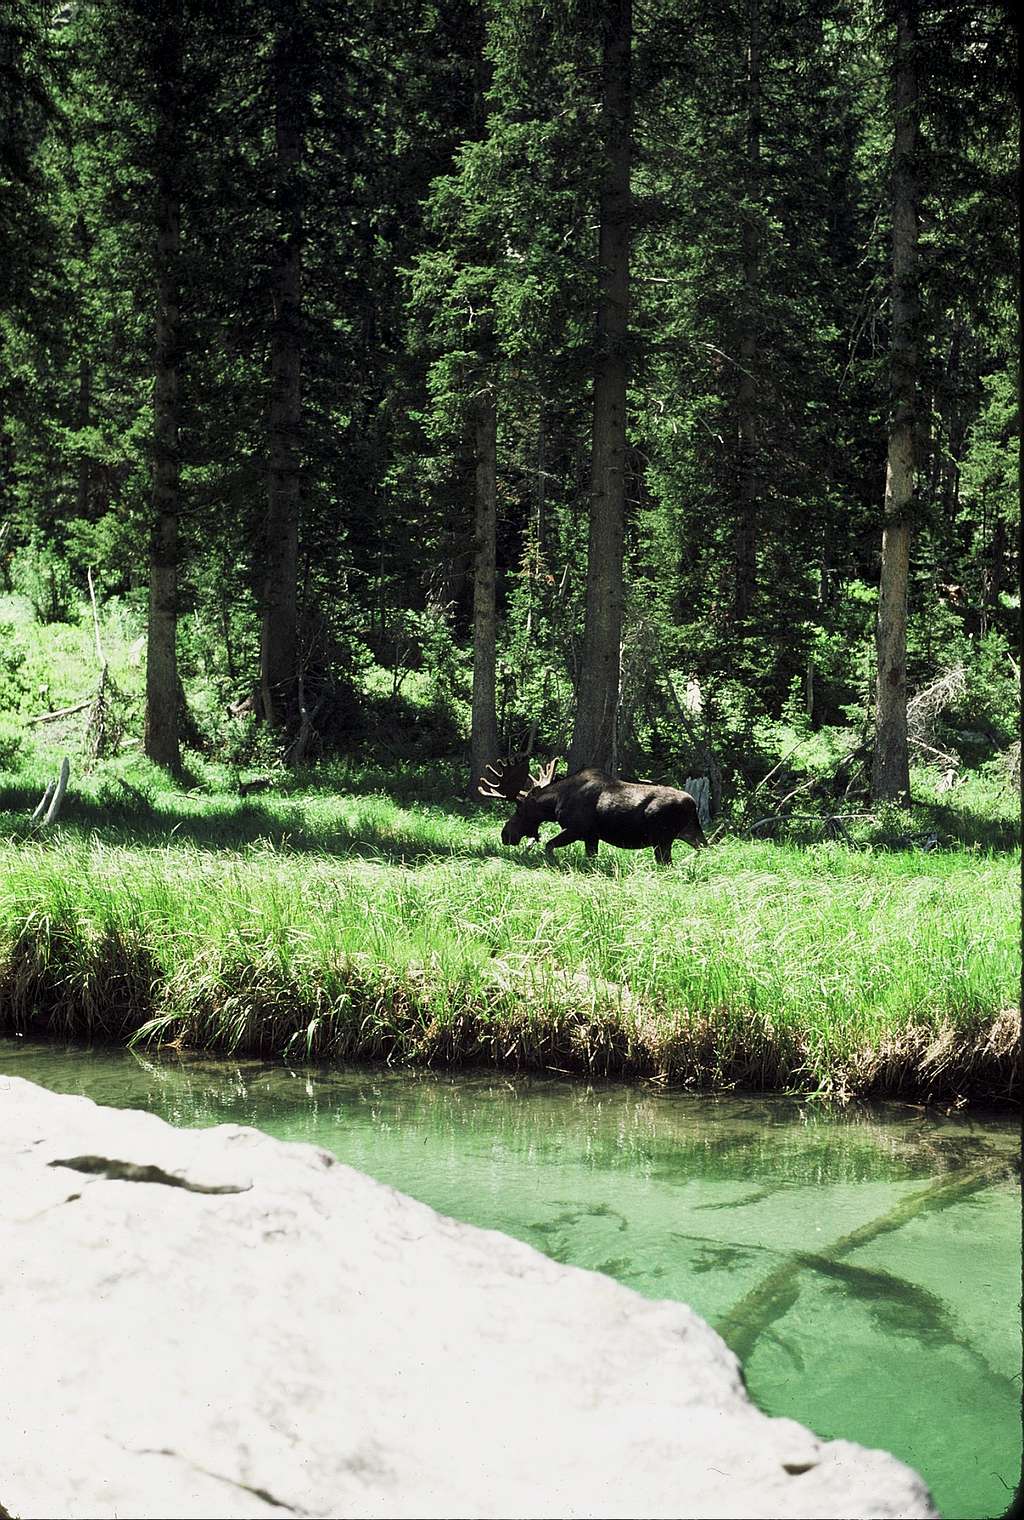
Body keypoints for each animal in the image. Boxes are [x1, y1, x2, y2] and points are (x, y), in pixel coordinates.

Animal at [477, 753, 701, 863]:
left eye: (519, 810)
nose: (505, 834)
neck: (556, 802)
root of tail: (693, 803)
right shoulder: (592, 836)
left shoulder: (578, 829)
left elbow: (548, 846)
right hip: (690, 836)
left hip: (663, 840)